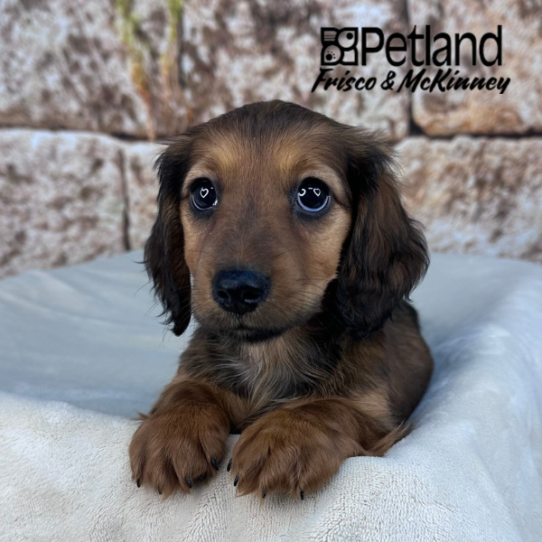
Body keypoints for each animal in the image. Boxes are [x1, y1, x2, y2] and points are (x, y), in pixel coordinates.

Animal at [129, 100, 433, 500]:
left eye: (313, 194)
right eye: (203, 193)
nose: (237, 289)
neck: (269, 352)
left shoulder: (376, 414)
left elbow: (329, 407)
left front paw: (286, 435)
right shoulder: (196, 371)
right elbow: (186, 389)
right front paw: (173, 428)